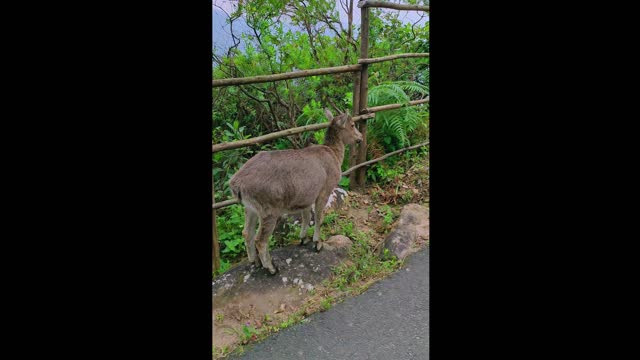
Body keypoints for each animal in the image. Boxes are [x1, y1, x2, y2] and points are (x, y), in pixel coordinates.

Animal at [230, 108, 362, 274]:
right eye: (352, 124)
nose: (360, 137)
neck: (334, 155)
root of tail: (236, 184)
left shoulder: (307, 196)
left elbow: (306, 216)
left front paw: (303, 238)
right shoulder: (325, 189)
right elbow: (319, 217)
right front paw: (318, 243)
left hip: (250, 207)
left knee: (247, 232)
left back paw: (255, 262)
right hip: (269, 209)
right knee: (260, 239)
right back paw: (271, 268)